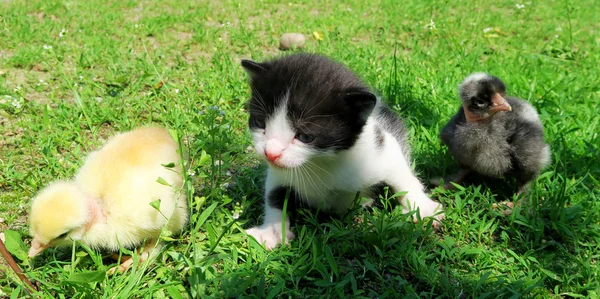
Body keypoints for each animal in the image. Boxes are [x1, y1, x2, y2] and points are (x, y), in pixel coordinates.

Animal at [241, 54, 442, 251]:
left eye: (305, 136)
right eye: (260, 123)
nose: (271, 153)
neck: (321, 162)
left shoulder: (380, 147)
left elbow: (402, 177)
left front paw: (423, 208)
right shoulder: (280, 173)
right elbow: (274, 195)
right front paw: (272, 231)